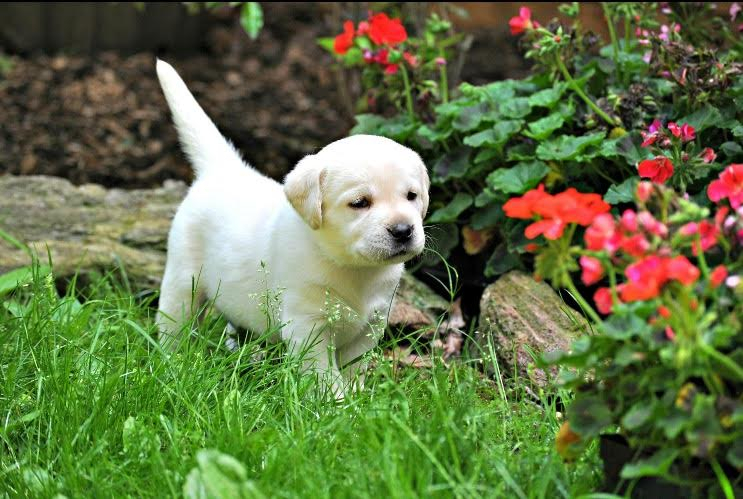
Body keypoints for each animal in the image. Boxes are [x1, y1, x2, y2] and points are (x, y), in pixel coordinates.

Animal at [153, 59, 430, 394]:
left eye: (411, 196)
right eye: (360, 203)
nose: (403, 230)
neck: (352, 268)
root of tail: (223, 170)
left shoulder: (371, 324)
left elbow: (354, 367)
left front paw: (357, 396)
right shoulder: (307, 324)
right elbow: (324, 373)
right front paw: (335, 402)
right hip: (183, 281)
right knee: (174, 325)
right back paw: (173, 363)